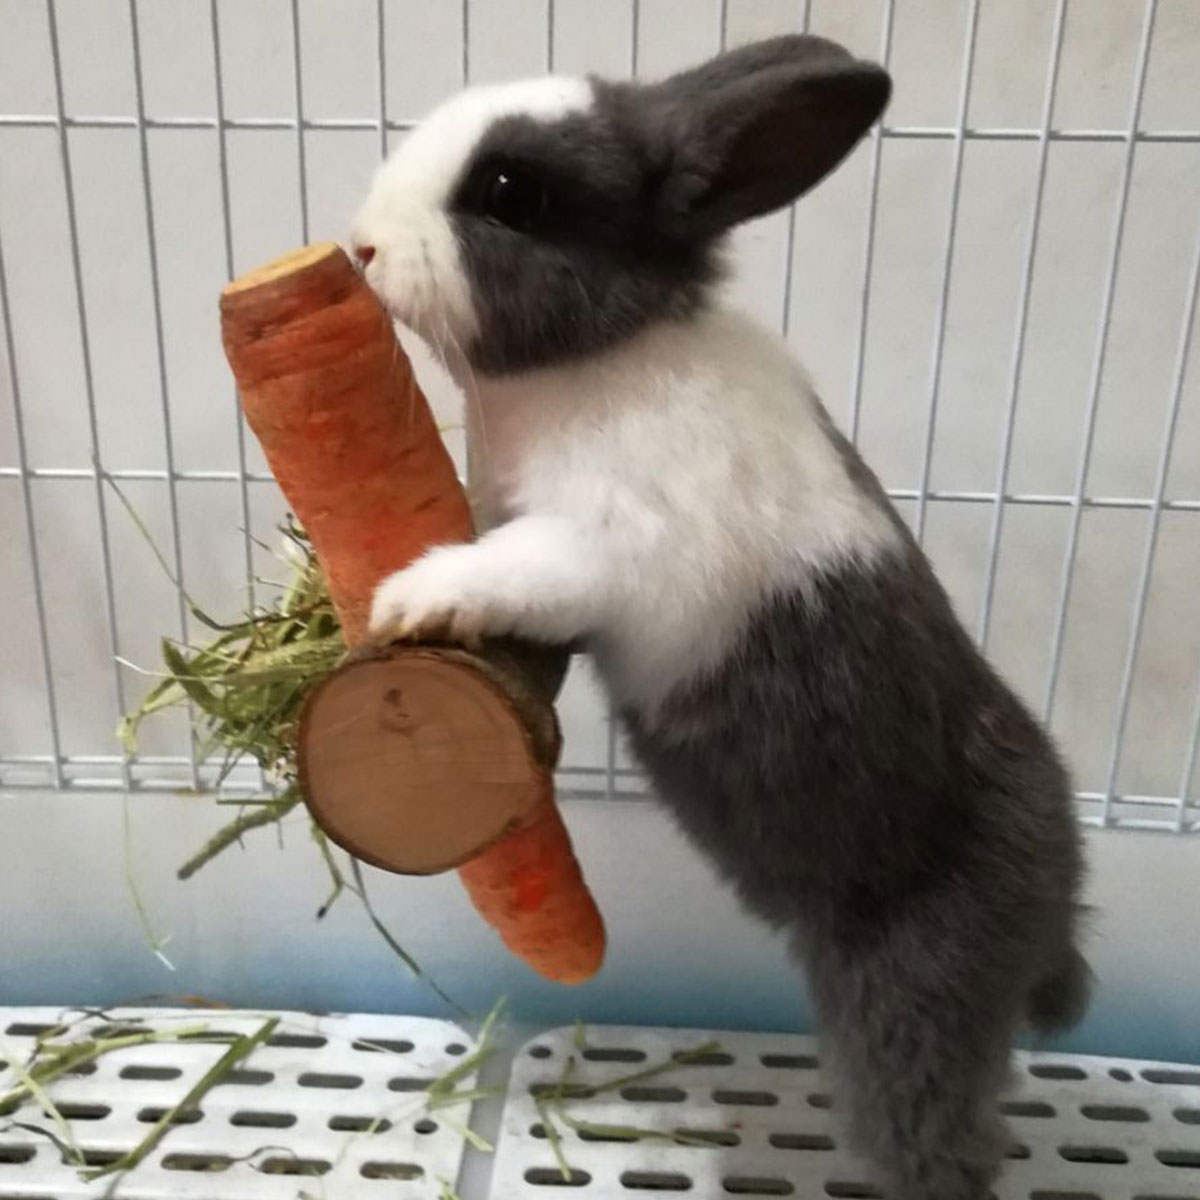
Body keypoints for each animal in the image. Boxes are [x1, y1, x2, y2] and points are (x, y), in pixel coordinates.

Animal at [350, 37, 1094, 1200]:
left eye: (512, 194)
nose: (363, 245)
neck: (607, 352)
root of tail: (1058, 883)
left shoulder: (600, 546)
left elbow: (512, 569)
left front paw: (412, 597)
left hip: (913, 1002)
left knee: (944, 1142)